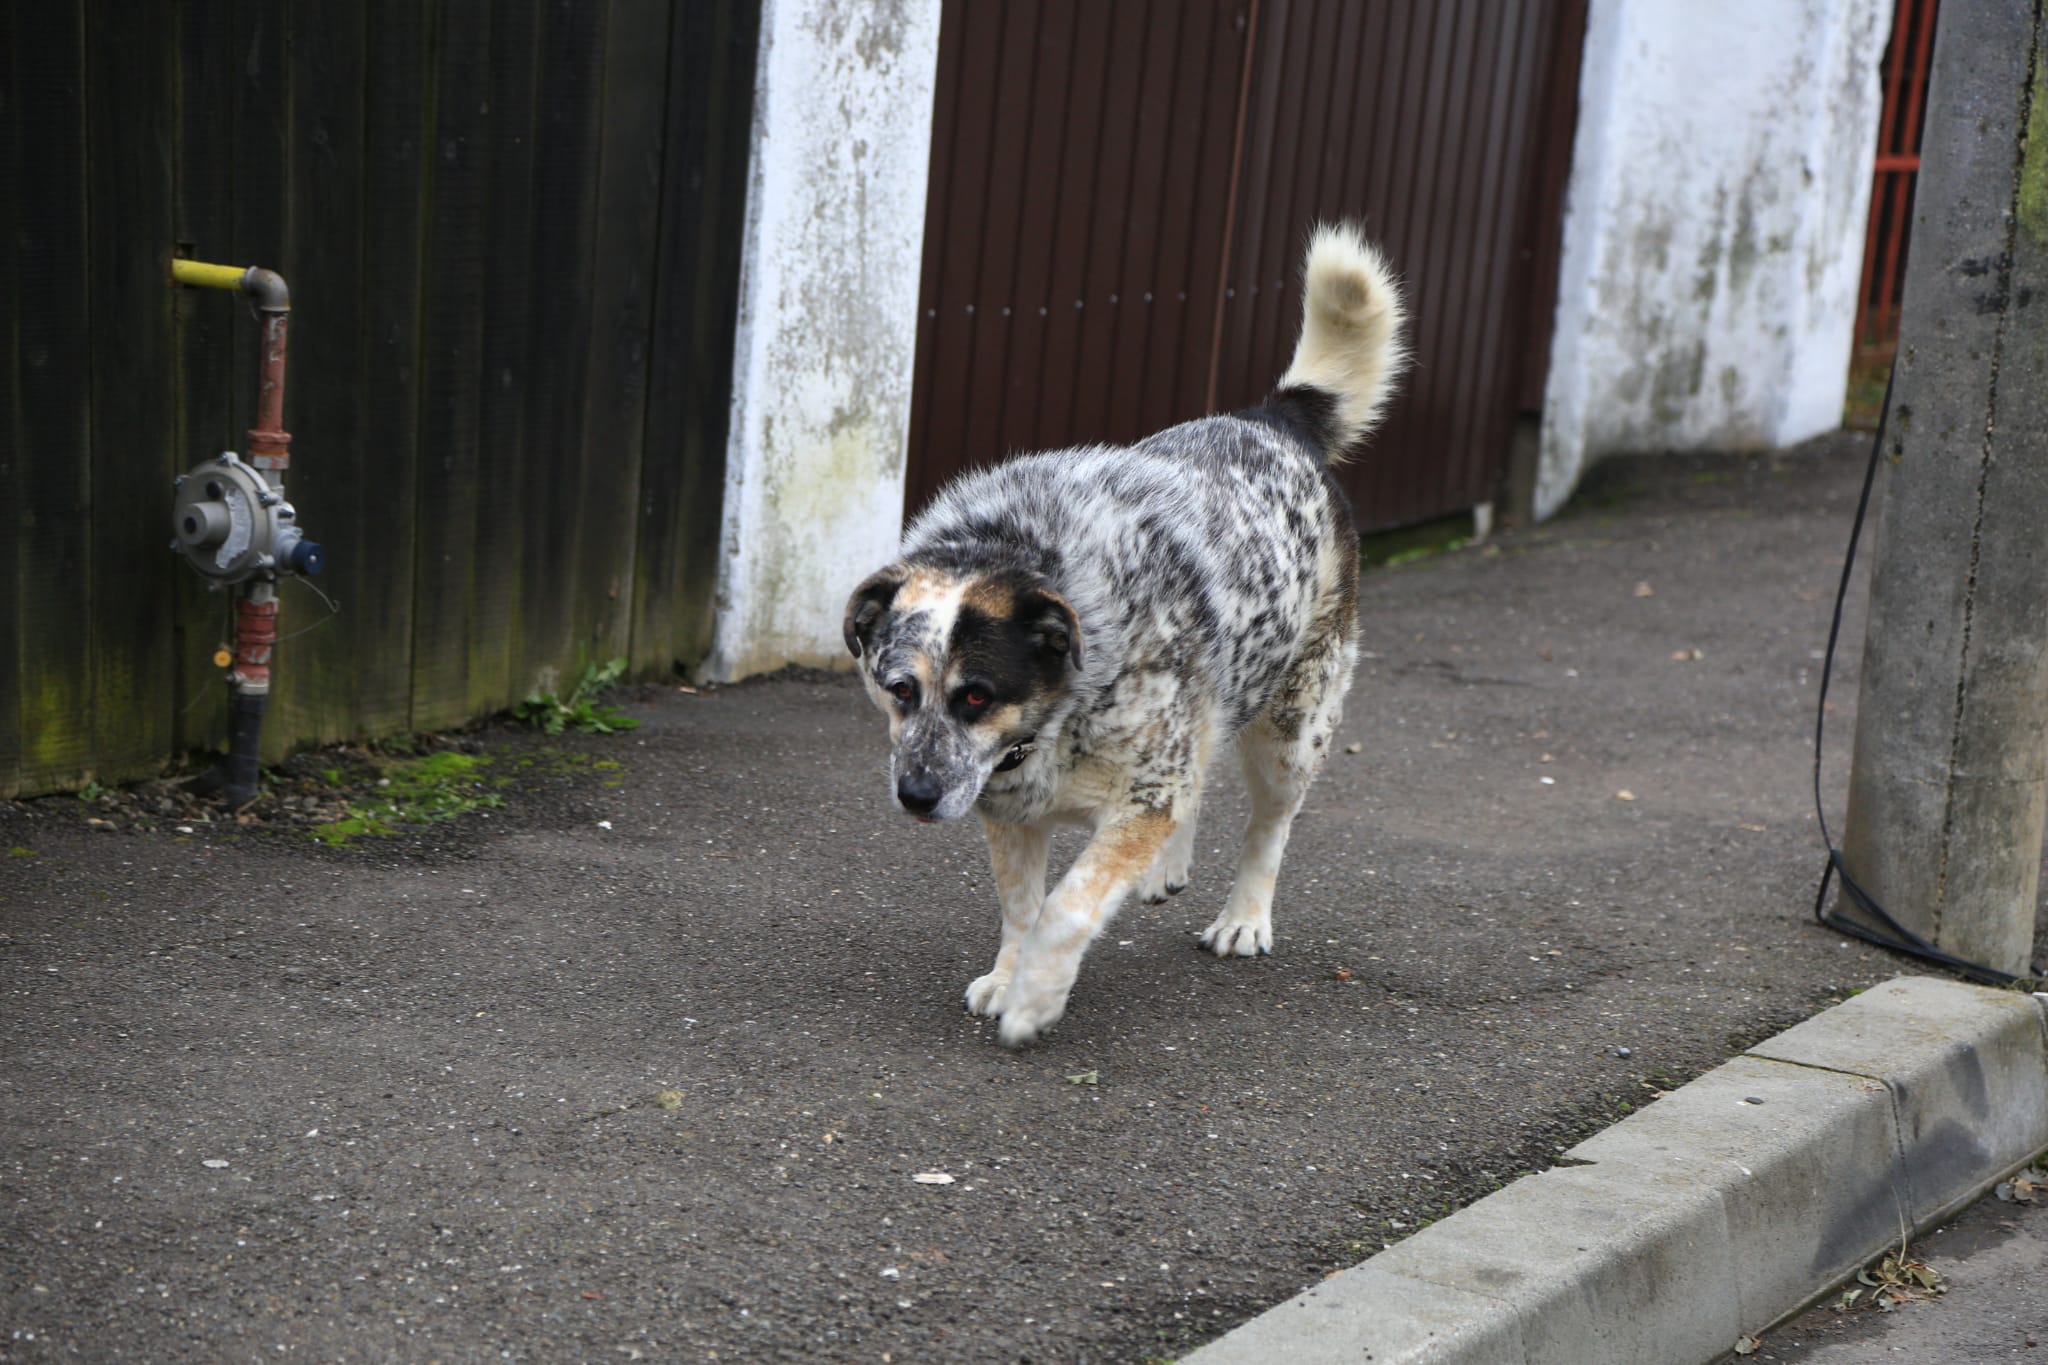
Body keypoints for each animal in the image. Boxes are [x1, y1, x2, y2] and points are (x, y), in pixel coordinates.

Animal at [844, 223, 1406, 1046]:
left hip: (1294, 726)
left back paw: (1243, 919)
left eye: (976, 695)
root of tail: (1273, 417)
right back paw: (1166, 868)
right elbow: (1022, 906)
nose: (915, 796)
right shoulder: (1009, 810)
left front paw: (1035, 1000)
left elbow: (1065, 906)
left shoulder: (1139, 794)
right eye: (898, 690)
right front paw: (1009, 977)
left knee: (1270, 822)